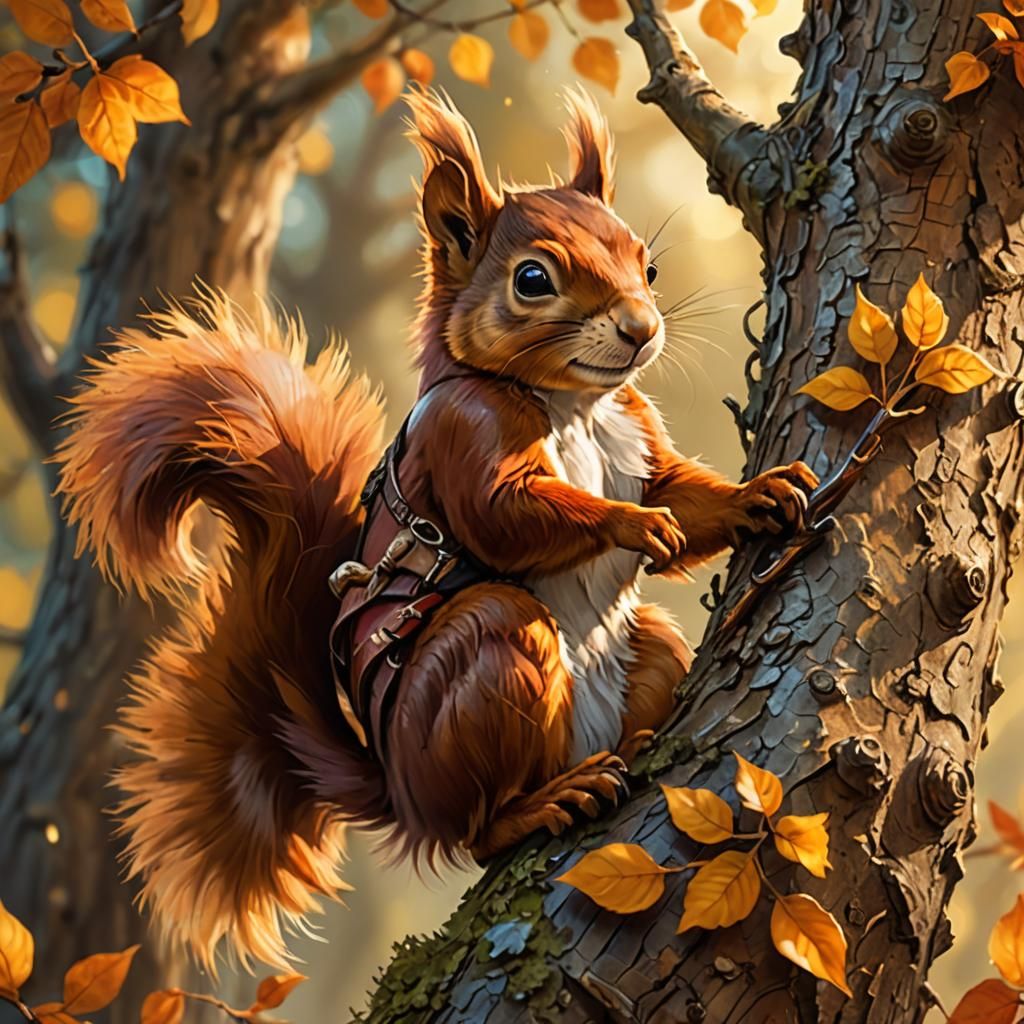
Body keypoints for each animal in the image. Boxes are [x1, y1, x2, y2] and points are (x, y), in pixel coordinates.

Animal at [54, 87, 817, 971]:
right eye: (533, 279)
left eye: (648, 264)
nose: (641, 328)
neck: (573, 405)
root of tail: (405, 794)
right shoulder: (463, 433)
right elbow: (508, 518)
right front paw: (630, 523)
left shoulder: (636, 434)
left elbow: (686, 499)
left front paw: (757, 493)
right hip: (485, 665)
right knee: (477, 830)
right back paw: (544, 801)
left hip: (642, 651)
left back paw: (627, 750)